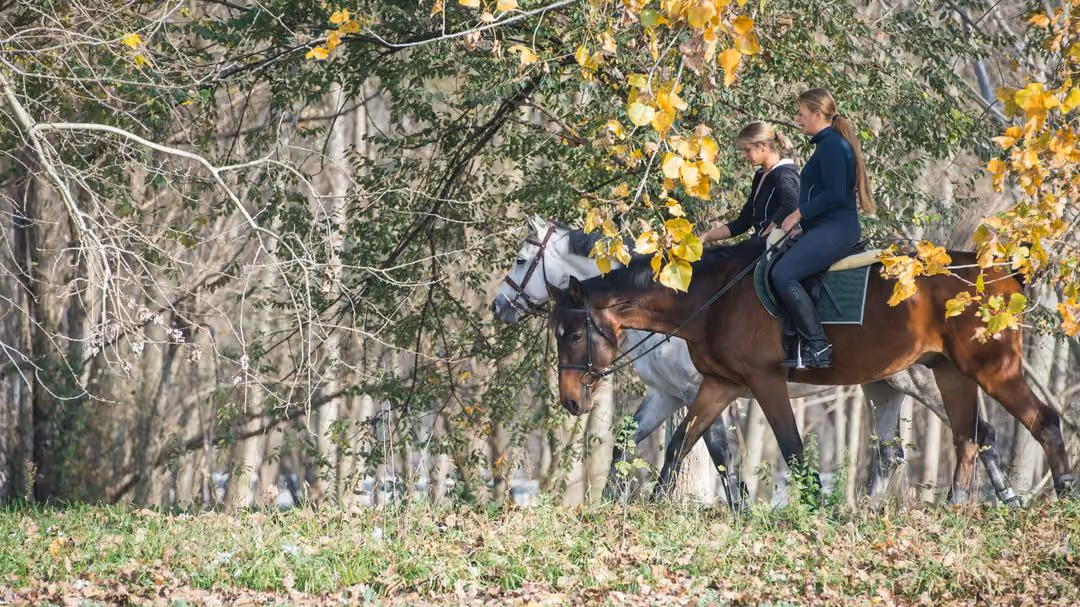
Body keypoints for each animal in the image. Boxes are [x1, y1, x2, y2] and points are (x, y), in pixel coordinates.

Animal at [494, 216, 1017, 506]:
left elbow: (719, 452)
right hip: (882, 386)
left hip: (927, 381)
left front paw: (739, 507)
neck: (688, 306)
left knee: (982, 434)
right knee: (892, 453)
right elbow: (634, 442)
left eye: (520, 260)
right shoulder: (668, 394)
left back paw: (1005, 500)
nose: (499, 306)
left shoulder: (701, 388)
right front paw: (612, 504)